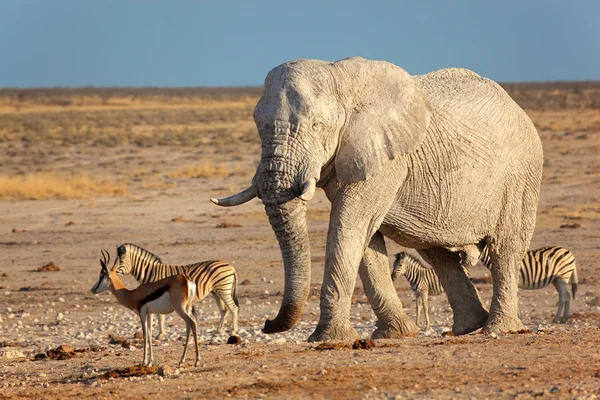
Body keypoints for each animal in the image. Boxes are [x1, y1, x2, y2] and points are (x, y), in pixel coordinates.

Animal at [211, 56, 544, 342]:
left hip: (521, 174)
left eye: (317, 126)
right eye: (257, 126)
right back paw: (466, 328)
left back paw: (498, 329)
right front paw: (395, 334)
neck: (339, 78)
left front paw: (328, 339)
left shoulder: (385, 157)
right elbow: (366, 239)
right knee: (436, 251)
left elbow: (349, 225)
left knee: (505, 248)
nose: (268, 324)